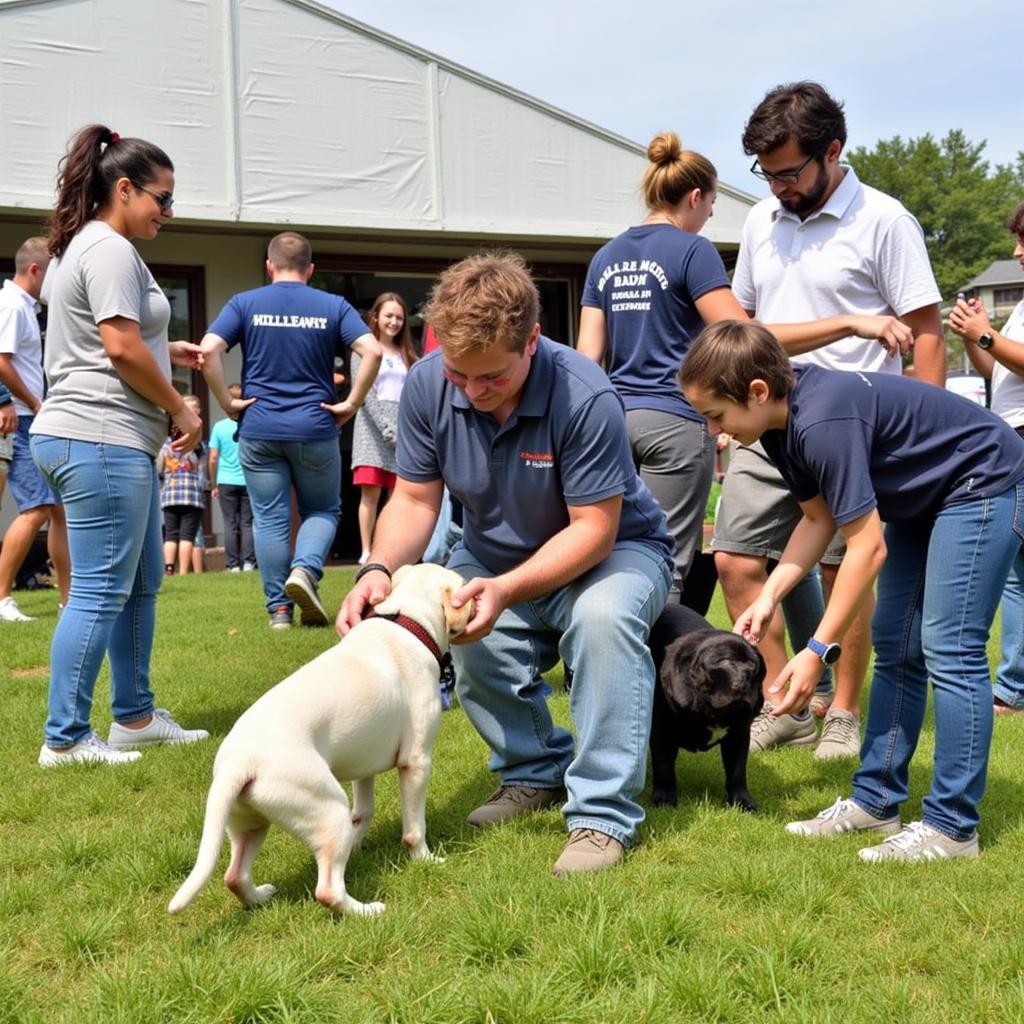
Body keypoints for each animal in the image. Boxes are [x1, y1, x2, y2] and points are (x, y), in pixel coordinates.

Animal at [167, 565, 471, 917]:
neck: (406, 619)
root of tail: (238, 765)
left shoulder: (363, 766)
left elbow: (363, 812)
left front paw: (358, 846)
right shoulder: (416, 761)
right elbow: (413, 829)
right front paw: (425, 859)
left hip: (249, 822)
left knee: (235, 876)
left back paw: (261, 897)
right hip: (328, 811)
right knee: (327, 890)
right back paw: (368, 910)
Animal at [651, 602, 765, 811]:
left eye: (753, 664)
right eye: (724, 661)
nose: (745, 679)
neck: (712, 713)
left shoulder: (738, 735)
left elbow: (737, 772)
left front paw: (742, 802)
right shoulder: (662, 733)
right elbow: (663, 769)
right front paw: (664, 799)